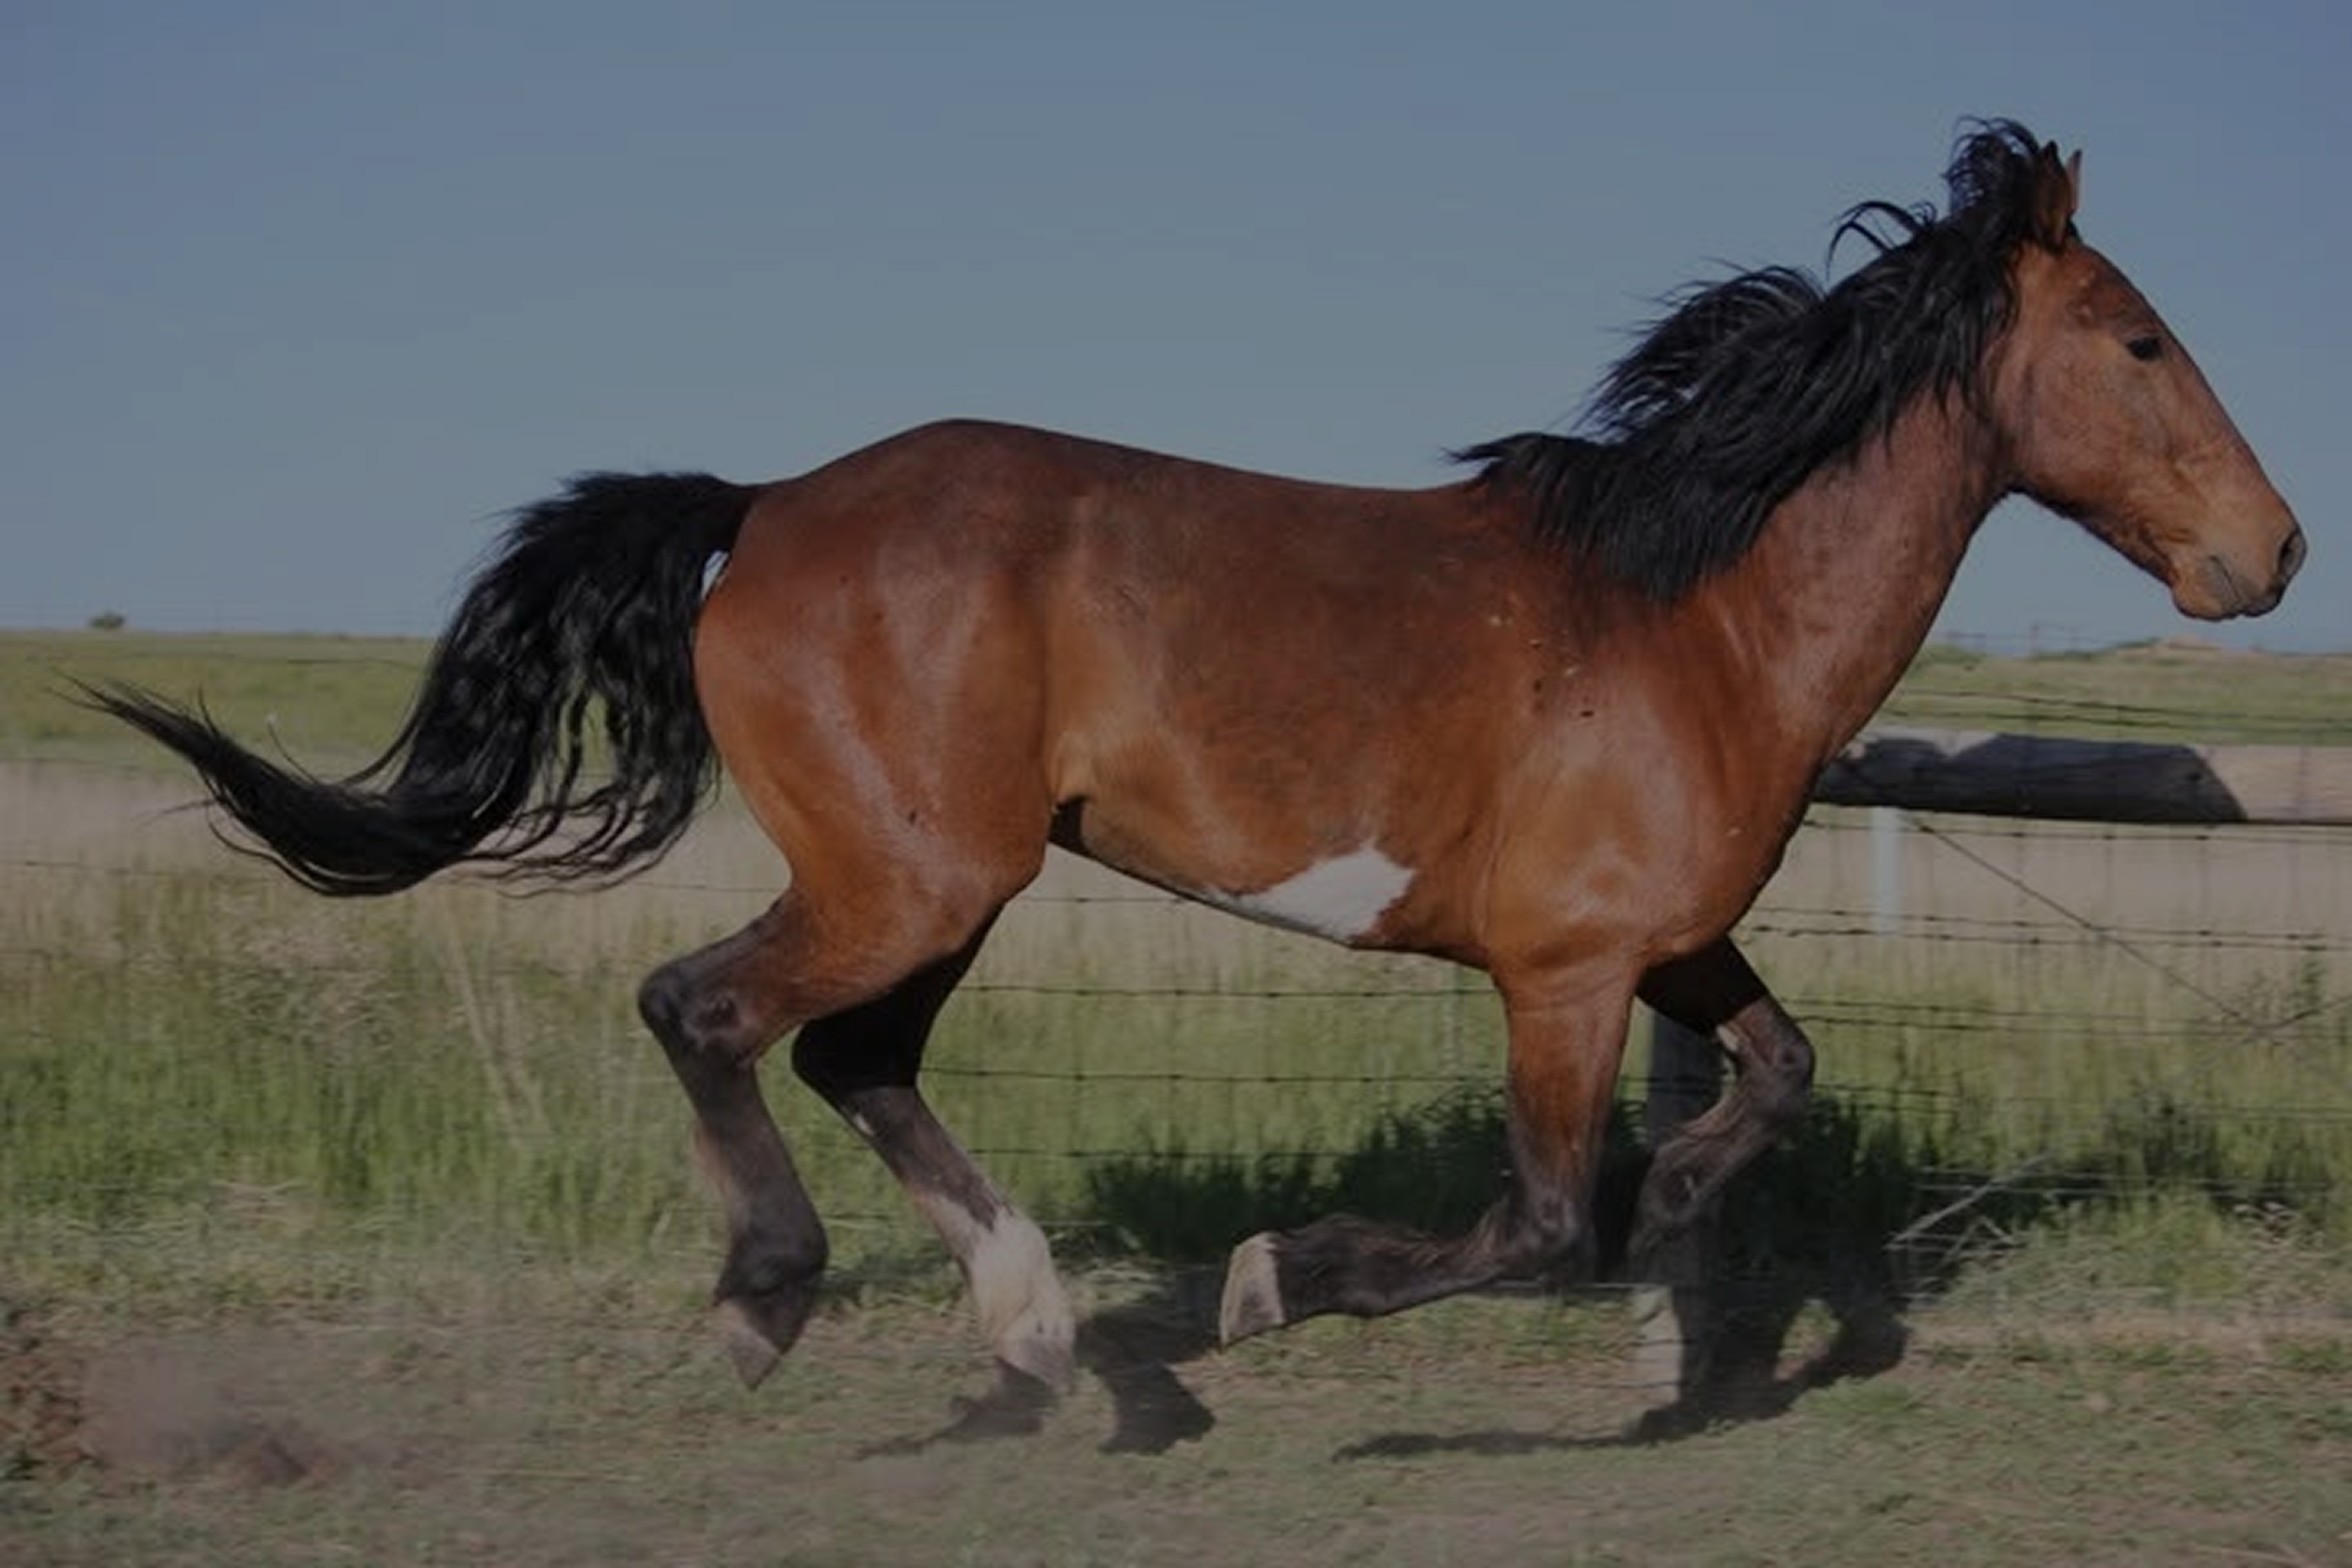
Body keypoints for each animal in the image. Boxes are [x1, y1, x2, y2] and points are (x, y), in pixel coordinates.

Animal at [85, 121, 2301, 1412]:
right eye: (2133, 338)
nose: (2269, 552)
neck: (1692, 614)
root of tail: (766, 506)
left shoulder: (1662, 943)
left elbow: (1772, 1080)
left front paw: (1680, 1262)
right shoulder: (1564, 970)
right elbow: (1533, 1217)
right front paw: (1273, 1281)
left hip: (945, 881)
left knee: (852, 1055)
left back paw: (1040, 1332)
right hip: (911, 873)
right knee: (708, 1008)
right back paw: (782, 1301)